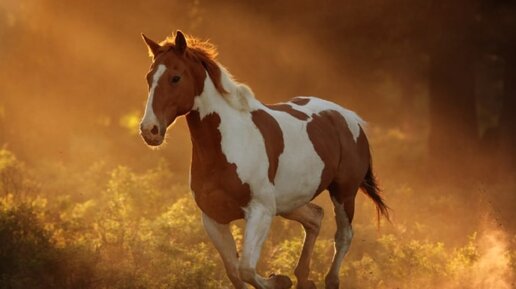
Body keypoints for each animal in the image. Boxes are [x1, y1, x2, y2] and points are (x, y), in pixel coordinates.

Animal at [139, 31, 390, 288]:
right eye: (149, 77)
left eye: (175, 77)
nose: (150, 130)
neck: (228, 145)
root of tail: (348, 117)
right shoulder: (213, 218)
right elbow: (234, 272)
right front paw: (282, 278)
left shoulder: (259, 211)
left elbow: (246, 270)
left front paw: (279, 280)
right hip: (288, 203)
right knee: (315, 218)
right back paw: (303, 278)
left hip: (343, 193)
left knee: (343, 236)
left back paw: (328, 279)